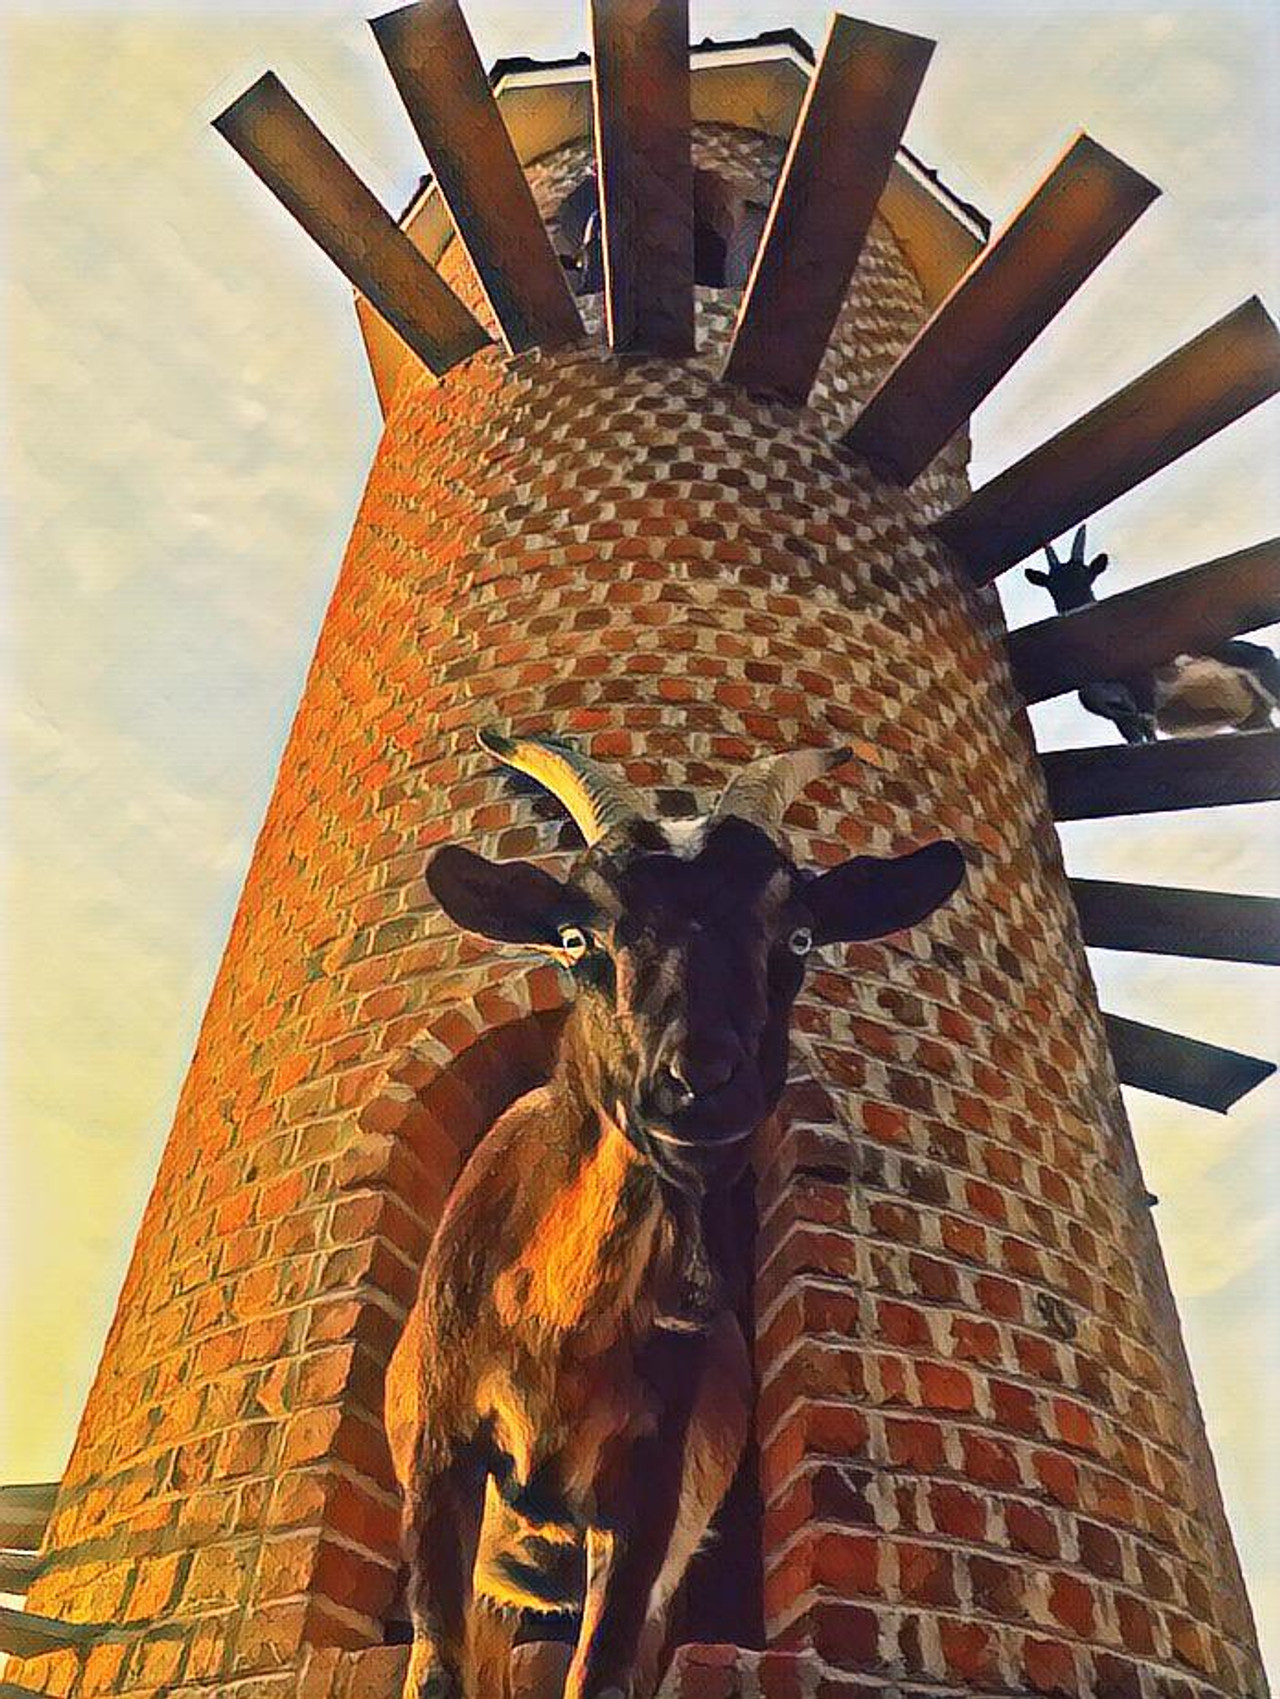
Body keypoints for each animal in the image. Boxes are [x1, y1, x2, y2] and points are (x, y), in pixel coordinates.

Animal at [385, 730, 965, 1699]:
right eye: (574, 936)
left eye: (798, 934)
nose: (699, 1083)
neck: (555, 1321)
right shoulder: (440, 1455)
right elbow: (434, 1674)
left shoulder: (650, 1492)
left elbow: (605, 1674)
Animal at [1025, 525, 1280, 743]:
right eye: (1052, 587)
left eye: (1087, 578)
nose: (1074, 611)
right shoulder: (1116, 707)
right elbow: (1130, 728)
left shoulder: (1144, 682)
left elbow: (1147, 722)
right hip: (1251, 717)